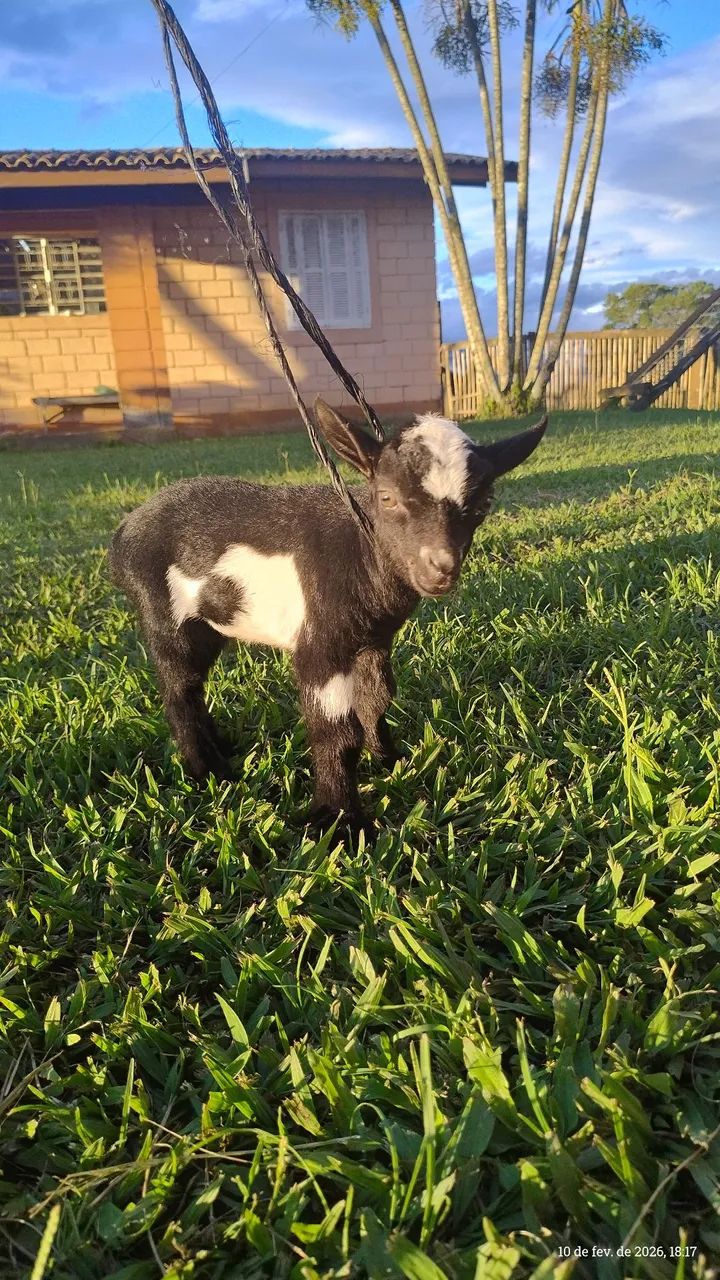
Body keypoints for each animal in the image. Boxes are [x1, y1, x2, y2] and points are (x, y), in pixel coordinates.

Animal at [108, 399, 547, 835]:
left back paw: (220, 748)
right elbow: (335, 729)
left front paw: (389, 759)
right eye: (386, 498)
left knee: (194, 685)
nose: (440, 569)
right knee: (179, 689)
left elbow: (377, 697)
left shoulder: (373, 640)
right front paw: (340, 822)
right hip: (161, 606)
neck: (362, 550)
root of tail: (124, 531)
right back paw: (209, 772)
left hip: (207, 622)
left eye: (483, 504)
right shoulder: (321, 645)